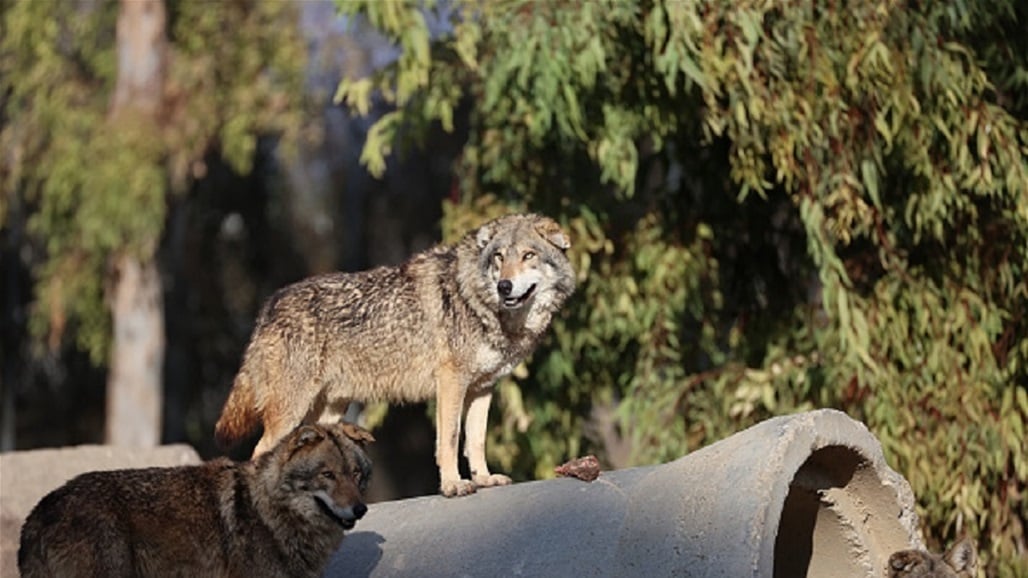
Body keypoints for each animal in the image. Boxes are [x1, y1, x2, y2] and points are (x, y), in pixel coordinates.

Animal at [214, 211, 579, 495]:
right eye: (500, 257)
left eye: (529, 255)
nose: (504, 286)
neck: (481, 302)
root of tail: (269, 305)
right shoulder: (451, 383)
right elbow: (450, 439)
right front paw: (452, 485)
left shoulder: (482, 388)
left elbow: (475, 441)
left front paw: (484, 478)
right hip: (291, 411)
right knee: (259, 453)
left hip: (329, 411)